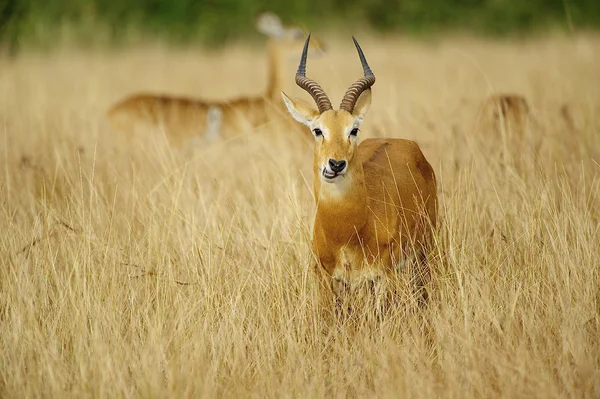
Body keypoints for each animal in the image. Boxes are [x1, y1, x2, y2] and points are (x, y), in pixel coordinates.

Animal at [282, 36, 436, 304]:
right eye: (317, 130)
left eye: (353, 130)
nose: (335, 164)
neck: (347, 231)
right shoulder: (327, 279)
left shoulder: (383, 278)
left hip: (428, 250)